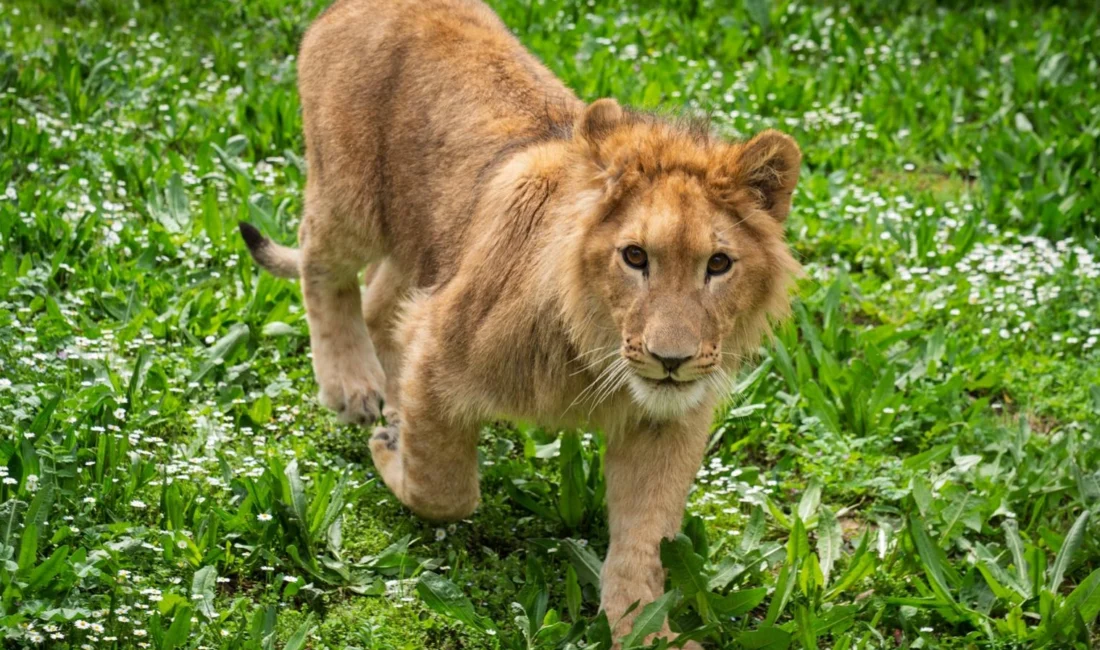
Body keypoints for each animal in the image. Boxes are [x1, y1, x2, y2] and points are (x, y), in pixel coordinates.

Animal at [240, 0, 805, 646]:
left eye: (718, 264)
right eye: (635, 256)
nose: (672, 360)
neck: (594, 355)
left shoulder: (666, 423)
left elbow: (645, 539)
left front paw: (643, 630)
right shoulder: (436, 347)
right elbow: (446, 489)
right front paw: (391, 451)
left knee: (381, 301)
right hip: (349, 197)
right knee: (320, 263)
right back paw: (353, 387)